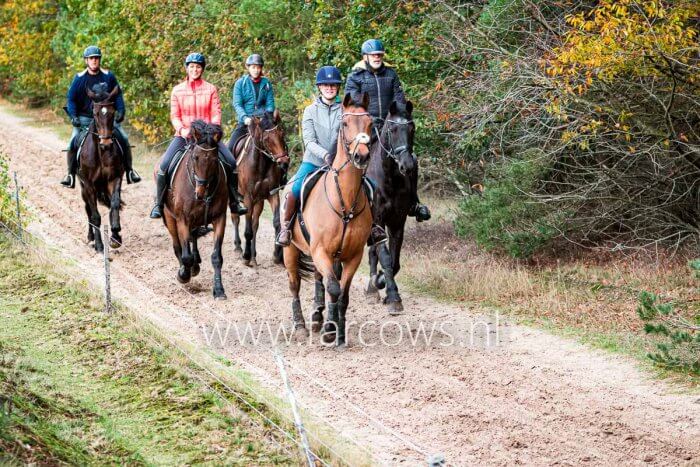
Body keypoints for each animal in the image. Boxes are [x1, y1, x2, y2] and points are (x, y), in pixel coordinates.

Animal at [80, 84, 126, 252]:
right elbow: (95, 215)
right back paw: (91, 237)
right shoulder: (88, 185)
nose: (106, 143)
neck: (101, 154)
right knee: (88, 209)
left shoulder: (115, 178)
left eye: (112, 113)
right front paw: (99, 245)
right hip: (83, 188)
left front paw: (116, 236)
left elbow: (114, 204)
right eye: (95, 113)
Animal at [158, 120, 227, 300]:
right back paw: (186, 269)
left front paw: (219, 290)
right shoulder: (182, 219)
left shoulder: (220, 218)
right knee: (178, 246)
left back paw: (196, 265)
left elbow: (216, 257)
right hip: (170, 218)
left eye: (214, 160)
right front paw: (183, 275)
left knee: (193, 238)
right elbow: (185, 255)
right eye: (195, 157)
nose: (200, 193)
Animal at [231, 110, 288, 268]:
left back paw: (254, 256)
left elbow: (276, 224)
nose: (284, 162)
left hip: (259, 201)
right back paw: (238, 248)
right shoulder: (248, 198)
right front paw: (245, 257)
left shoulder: (272, 194)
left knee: (255, 224)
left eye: (281, 133)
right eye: (267, 139)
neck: (261, 164)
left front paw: (277, 256)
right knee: (236, 219)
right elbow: (247, 230)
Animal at [284, 92, 374, 348]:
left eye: (370, 123)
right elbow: (334, 288)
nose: (361, 156)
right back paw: (301, 326)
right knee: (294, 284)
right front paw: (330, 332)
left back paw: (317, 316)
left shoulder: (353, 256)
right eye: (345, 123)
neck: (344, 200)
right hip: (291, 250)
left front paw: (339, 333)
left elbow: (342, 294)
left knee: (318, 278)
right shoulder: (321, 250)